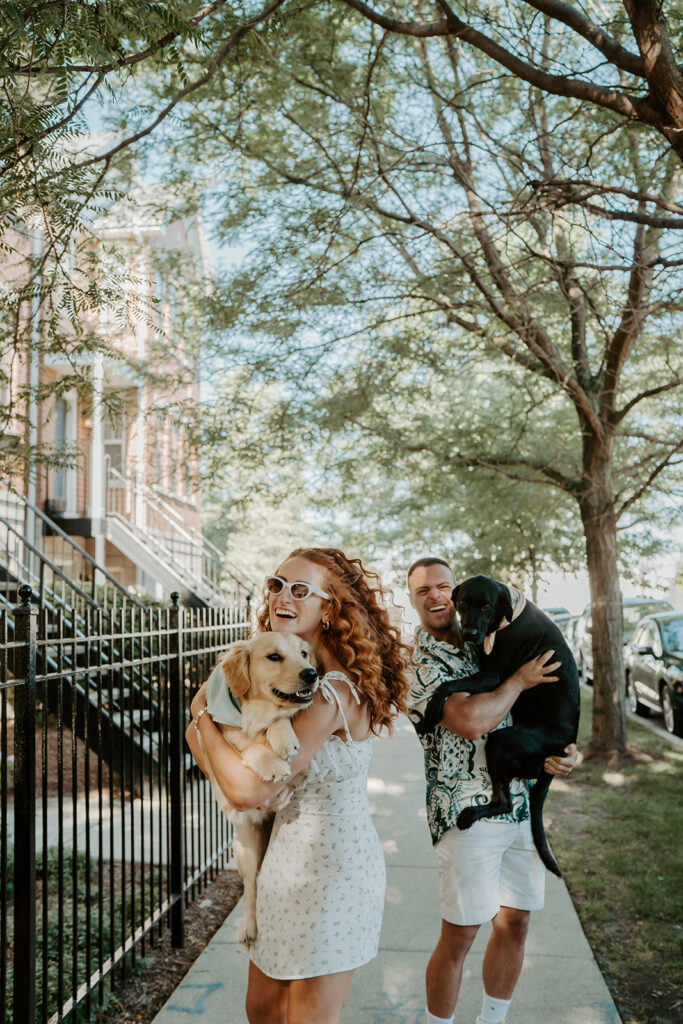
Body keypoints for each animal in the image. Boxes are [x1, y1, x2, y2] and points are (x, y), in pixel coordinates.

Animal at [196, 630, 317, 942]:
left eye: (303, 653)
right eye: (273, 656)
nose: (311, 673)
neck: (255, 713)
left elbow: (279, 719)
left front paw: (284, 740)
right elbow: (249, 747)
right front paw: (273, 763)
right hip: (245, 847)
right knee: (251, 887)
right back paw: (250, 928)